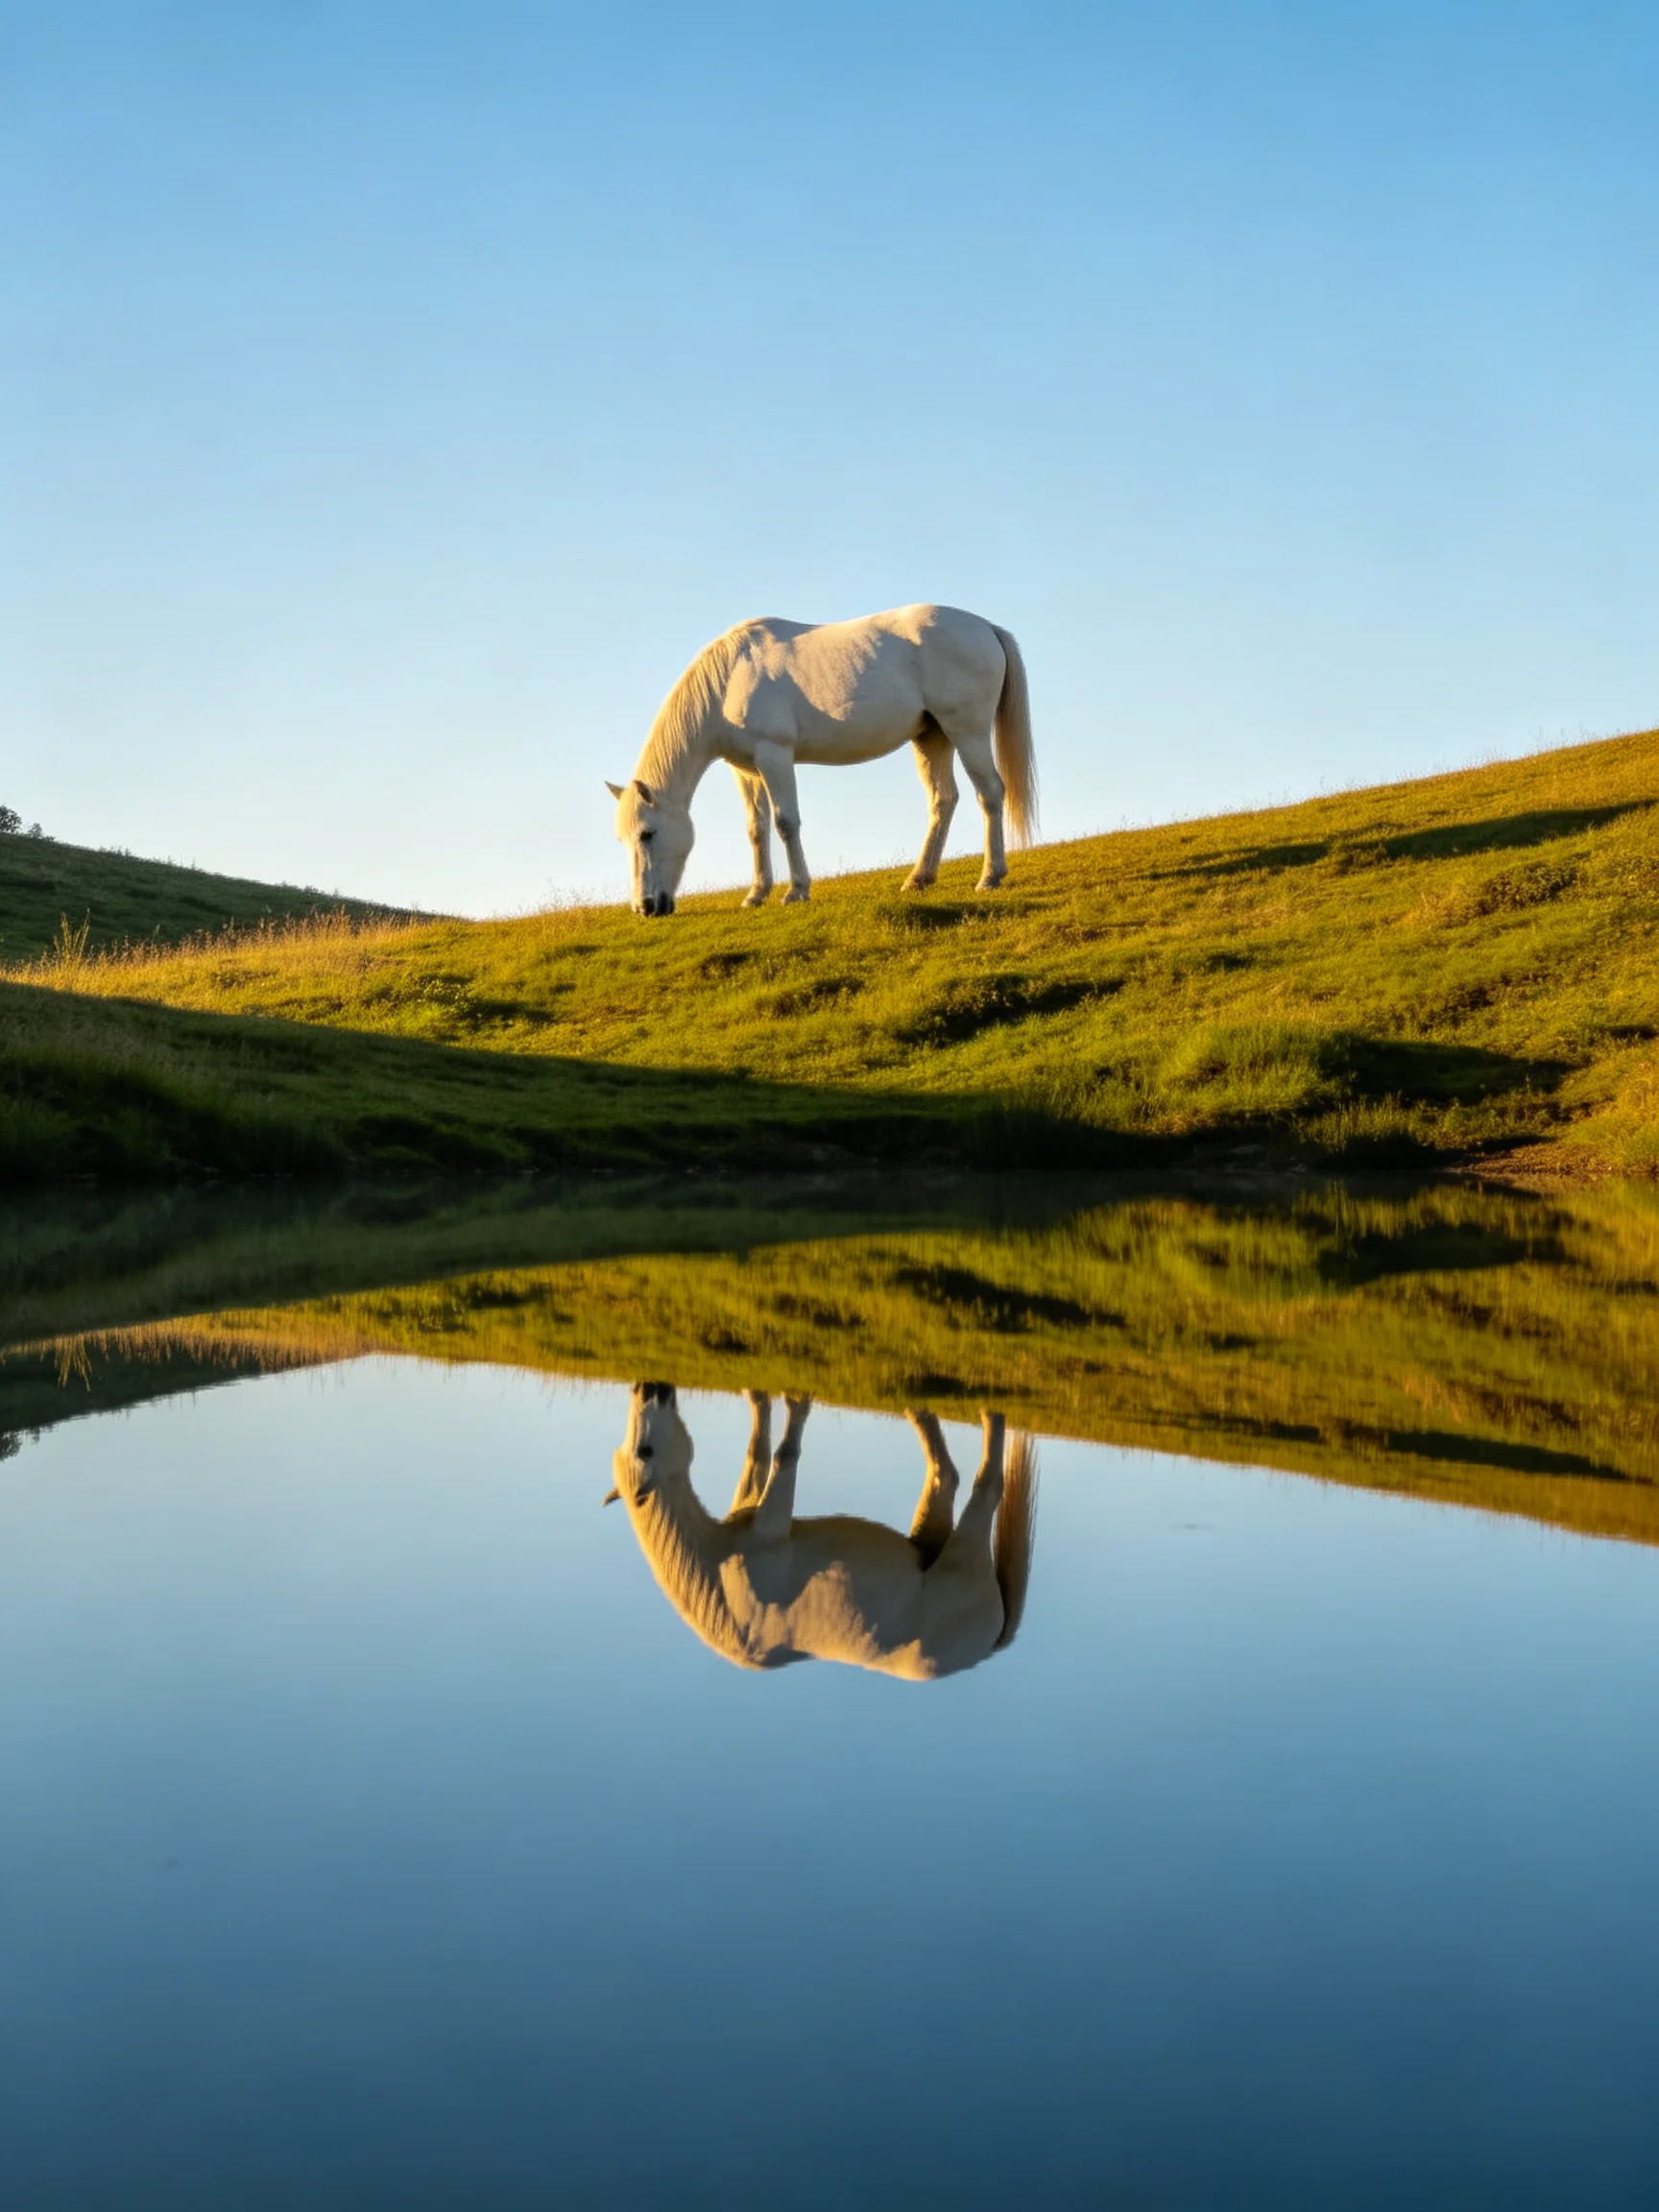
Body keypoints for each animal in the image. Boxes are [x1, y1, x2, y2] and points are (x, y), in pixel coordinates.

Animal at [604, 1383, 1039, 1681]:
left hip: (966, 1546)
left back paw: (990, 1411)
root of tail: (990, 1646)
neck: (721, 1577)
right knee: (947, 1473)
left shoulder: (769, 1521)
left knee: (986, 1481)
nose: (649, 1387)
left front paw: (795, 1399)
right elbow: (762, 1447)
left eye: (644, 1451)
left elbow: (780, 1452)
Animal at [605, 603, 1036, 916]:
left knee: (990, 793)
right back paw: (919, 878)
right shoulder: (746, 771)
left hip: (967, 731)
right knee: (943, 800)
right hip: (932, 737)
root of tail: (985, 627)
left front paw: (796, 891)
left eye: (647, 834)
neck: (730, 680)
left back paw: (990, 876)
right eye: (625, 839)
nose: (645, 908)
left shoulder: (775, 756)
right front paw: (756, 895)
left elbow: (785, 823)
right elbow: (756, 829)